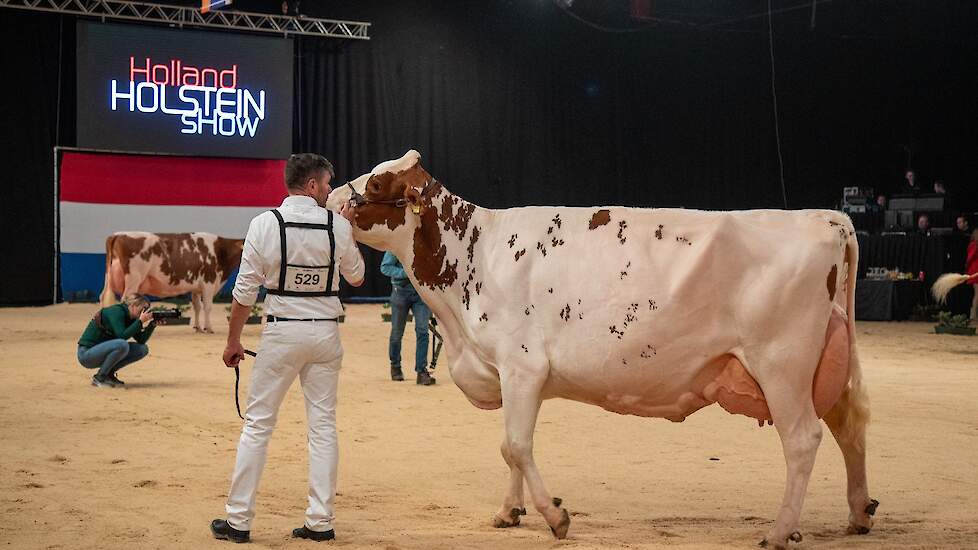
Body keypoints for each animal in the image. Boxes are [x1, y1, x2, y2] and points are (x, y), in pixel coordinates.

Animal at [98, 232, 244, 334]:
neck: (220, 251)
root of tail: (118, 234)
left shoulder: (196, 287)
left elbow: (197, 306)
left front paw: (197, 327)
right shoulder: (208, 282)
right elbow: (207, 307)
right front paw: (208, 328)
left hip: (109, 278)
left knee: (103, 297)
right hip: (133, 278)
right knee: (125, 300)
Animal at [324, 152, 872, 550]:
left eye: (378, 185)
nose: (330, 194)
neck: (473, 255)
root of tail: (826, 218)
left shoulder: (522, 365)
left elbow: (515, 446)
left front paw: (555, 516)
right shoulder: (511, 373)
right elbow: (509, 448)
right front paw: (509, 512)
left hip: (782, 364)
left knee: (802, 440)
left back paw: (778, 532)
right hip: (823, 363)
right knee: (849, 426)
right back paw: (858, 512)